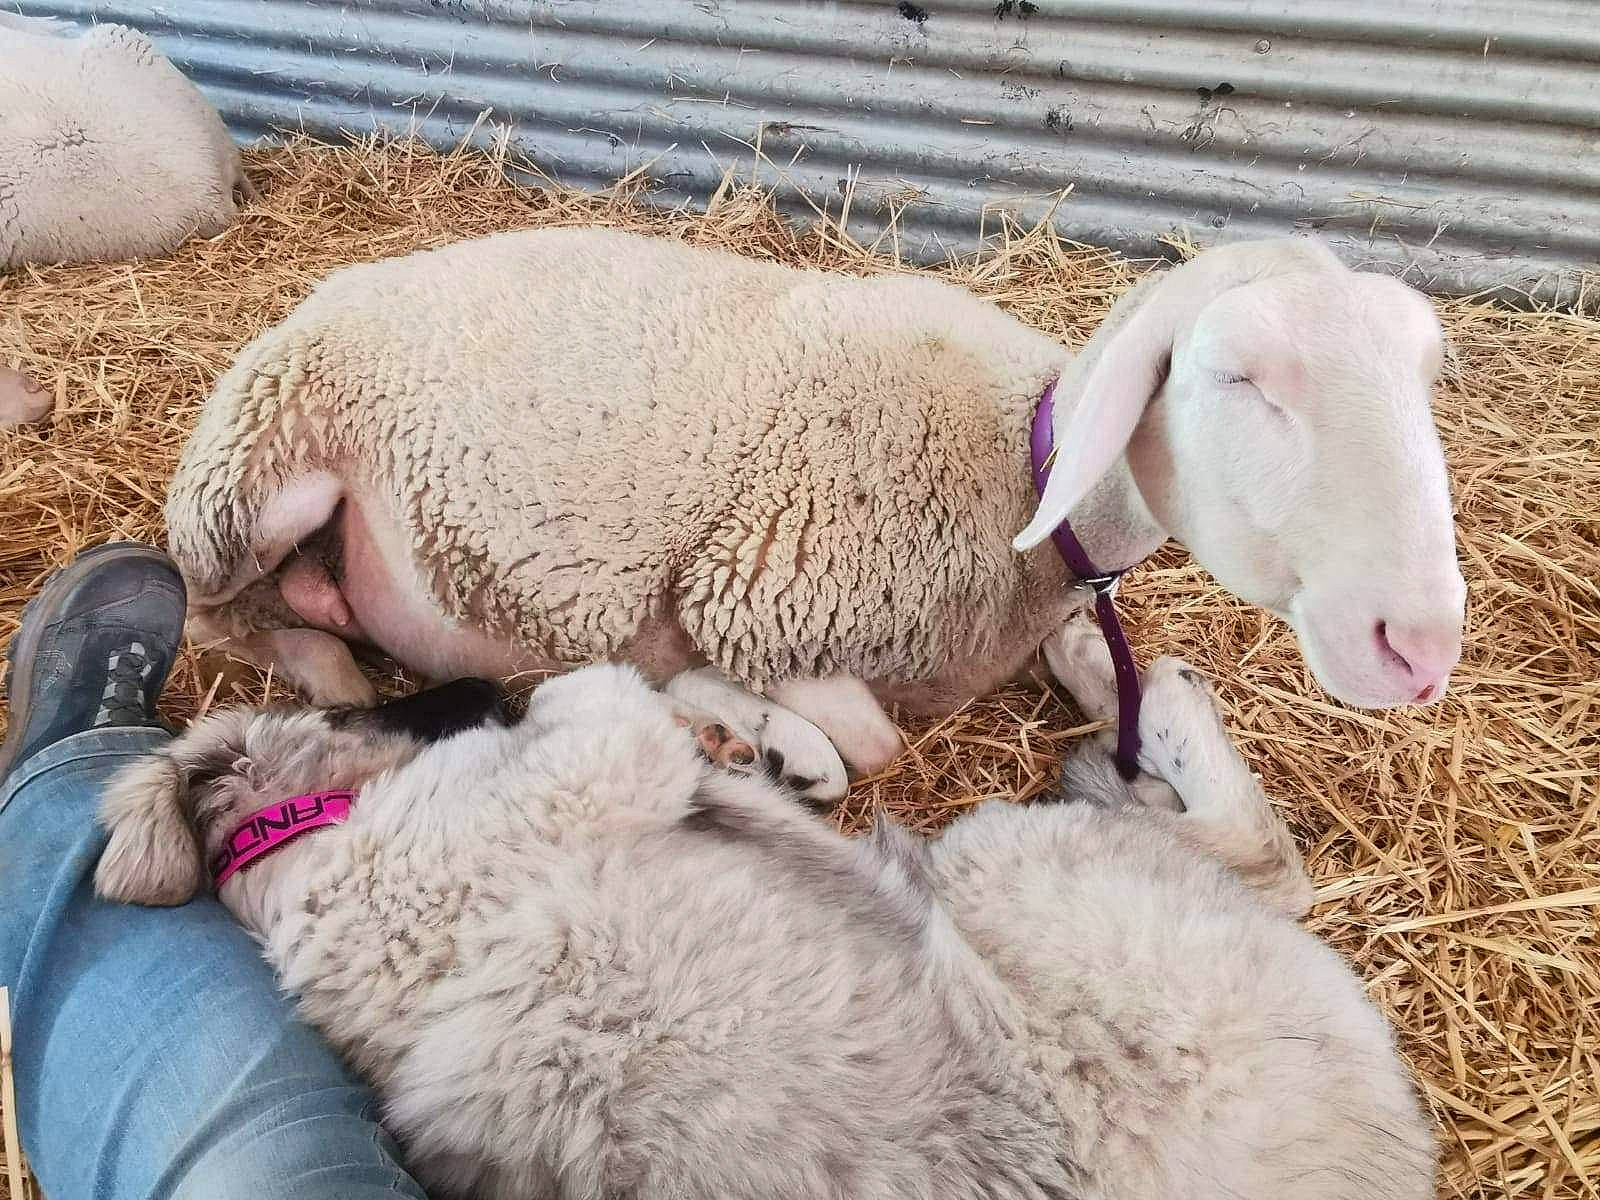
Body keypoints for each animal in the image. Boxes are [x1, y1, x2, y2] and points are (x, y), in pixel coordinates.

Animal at [94, 631, 1436, 1200]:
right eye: (383, 703)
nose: (478, 685)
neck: (307, 843)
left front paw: (756, 736)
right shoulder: (584, 763)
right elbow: (605, 693)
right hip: (1019, 871)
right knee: (1260, 861)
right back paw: (1145, 707)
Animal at [164, 229, 1466, 796]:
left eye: (1424, 372)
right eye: (1238, 377)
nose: (1419, 646)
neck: (1019, 463)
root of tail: (330, 288)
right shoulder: (751, 597)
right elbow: (867, 745)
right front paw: (743, 728)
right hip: (257, 478)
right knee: (210, 609)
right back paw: (329, 663)